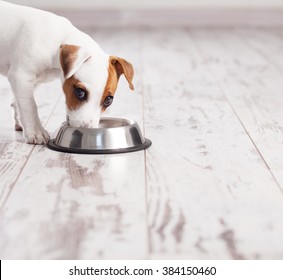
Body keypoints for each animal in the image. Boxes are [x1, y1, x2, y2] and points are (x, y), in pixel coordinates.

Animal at [0, 0, 135, 144]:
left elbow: (19, 101)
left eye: (108, 100)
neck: (56, 43)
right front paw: (36, 132)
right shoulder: (21, 76)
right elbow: (29, 105)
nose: (87, 130)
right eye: (80, 92)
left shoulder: (33, 81)